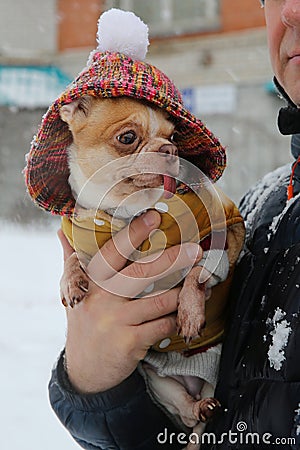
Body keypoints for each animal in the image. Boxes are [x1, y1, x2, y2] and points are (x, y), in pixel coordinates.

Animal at [58, 95, 241, 450]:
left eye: (173, 136)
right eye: (127, 138)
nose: (170, 150)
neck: (128, 211)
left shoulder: (214, 250)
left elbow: (196, 276)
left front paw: (189, 314)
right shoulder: (82, 245)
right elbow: (71, 259)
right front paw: (71, 283)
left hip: (213, 373)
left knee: (197, 423)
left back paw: (206, 407)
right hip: (157, 381)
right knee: (185, 411)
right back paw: (199, 407)